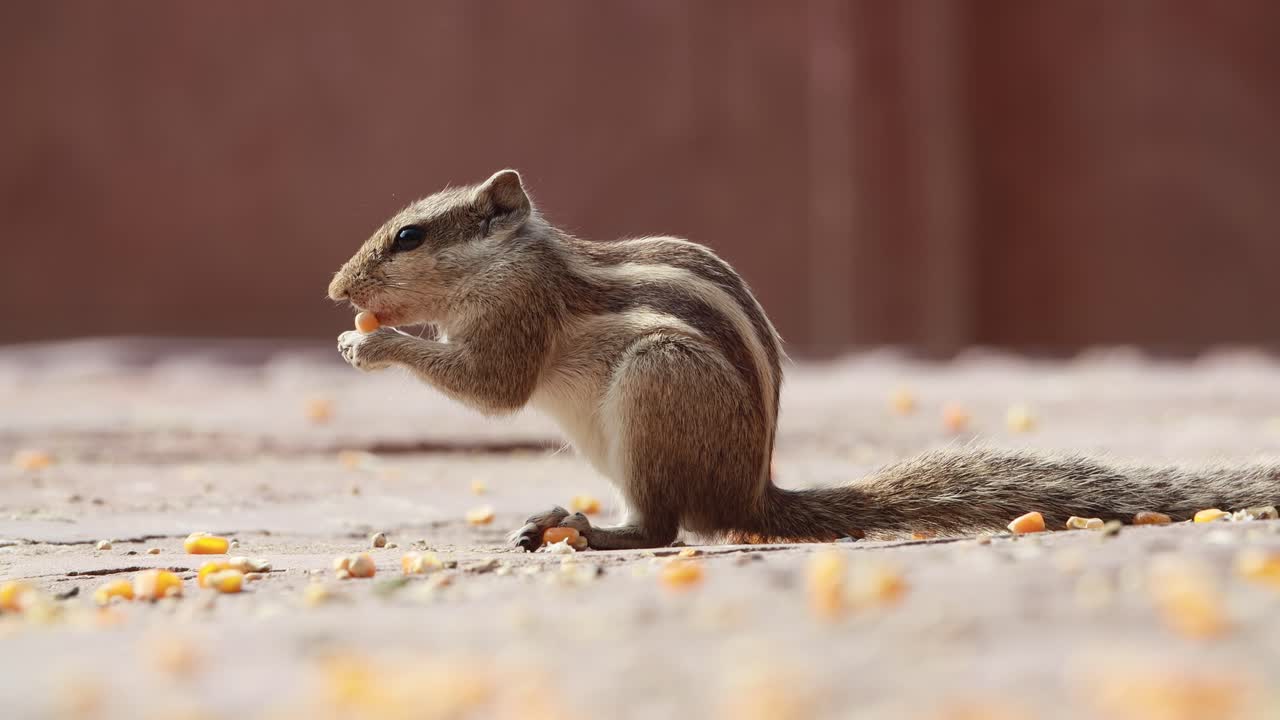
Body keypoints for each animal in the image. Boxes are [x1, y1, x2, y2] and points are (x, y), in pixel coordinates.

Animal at [328, 169, 1280, 550]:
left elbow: (492, 388)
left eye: (410, 237)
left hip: (656, 386)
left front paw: (371, 341)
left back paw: (592, 531)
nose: (339, 290)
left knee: (664, 528)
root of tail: (752, 492)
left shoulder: (518, 316)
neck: (514, 258)